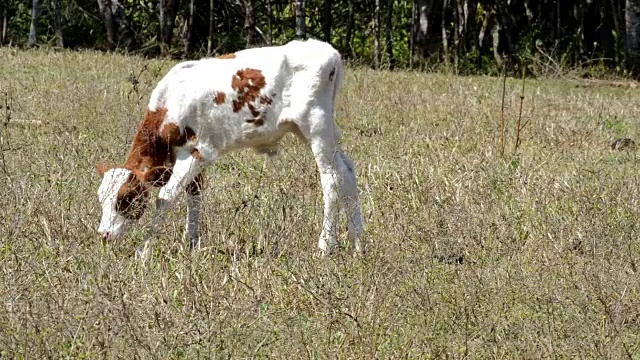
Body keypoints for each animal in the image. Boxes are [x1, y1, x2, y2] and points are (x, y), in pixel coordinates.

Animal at [95, 39, 364, 258]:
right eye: (101, 199)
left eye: (125, 199)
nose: (104, 235)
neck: (170, 105)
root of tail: (328, 51)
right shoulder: (195, 157)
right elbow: (194, 196)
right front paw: (192, 244)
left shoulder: (198, 152)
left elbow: (165, 198)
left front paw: (144, 251)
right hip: (317, 131)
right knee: (347, 172)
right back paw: (358, 243)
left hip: (316, 127)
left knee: (331, 179)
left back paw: (325, 245)